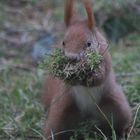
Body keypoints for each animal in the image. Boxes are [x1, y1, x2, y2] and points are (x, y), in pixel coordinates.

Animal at [41, 0, 132, 139]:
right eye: (63, 42)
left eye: (88, 44)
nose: (71, 58)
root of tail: (87, 116)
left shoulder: (105, 58)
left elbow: (101, 77)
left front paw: (89, 79)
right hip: (60, 112)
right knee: (54, 130)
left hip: (118, 108)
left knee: (121, 120)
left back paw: (125, 131)